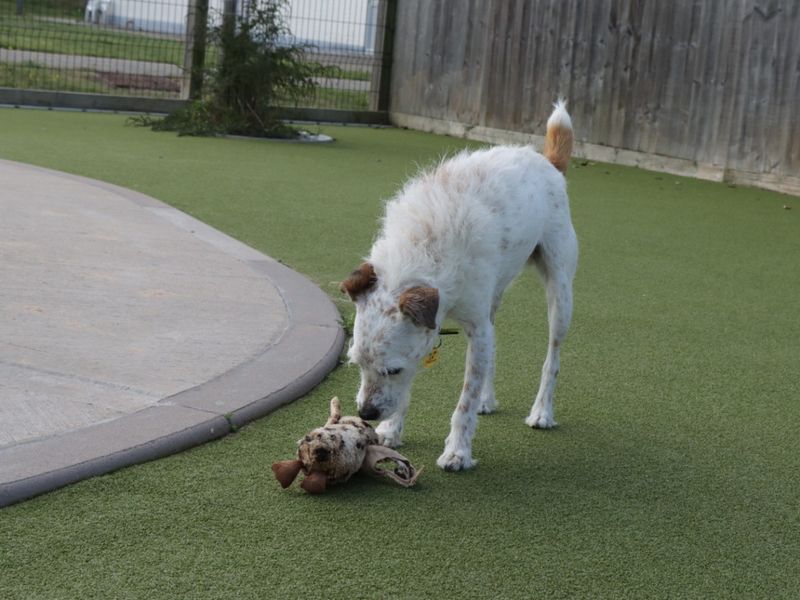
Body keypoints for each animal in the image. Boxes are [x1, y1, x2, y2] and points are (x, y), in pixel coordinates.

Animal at [340, 101, 580, 472]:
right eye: (356, 363)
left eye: (392, 369)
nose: (365, 413)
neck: (423, 247)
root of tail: (546, 161)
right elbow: (415, 390)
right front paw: (392, 430)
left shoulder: (474, 329)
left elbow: (463, 403)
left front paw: (458, 451)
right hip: (495, 295)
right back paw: (487, 399)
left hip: (560, 291)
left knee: (551, 358)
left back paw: (541, 412)